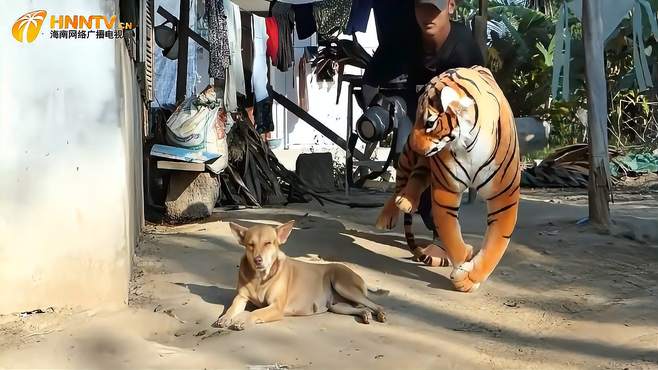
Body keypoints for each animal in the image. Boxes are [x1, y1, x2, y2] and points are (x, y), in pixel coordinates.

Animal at [211, 220, 384, 330]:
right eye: (250, 245)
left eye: (268, 243)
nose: (257, 260)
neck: (260, 277)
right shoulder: (241, 297)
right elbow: (232, 307)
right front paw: (225, 317)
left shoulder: (276, 307)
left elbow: (256, 312)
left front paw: (244, 319)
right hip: (337, 306)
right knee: (362, 308)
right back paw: (365, 315)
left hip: (343, 286)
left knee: (373, 304)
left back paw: (380, 313)